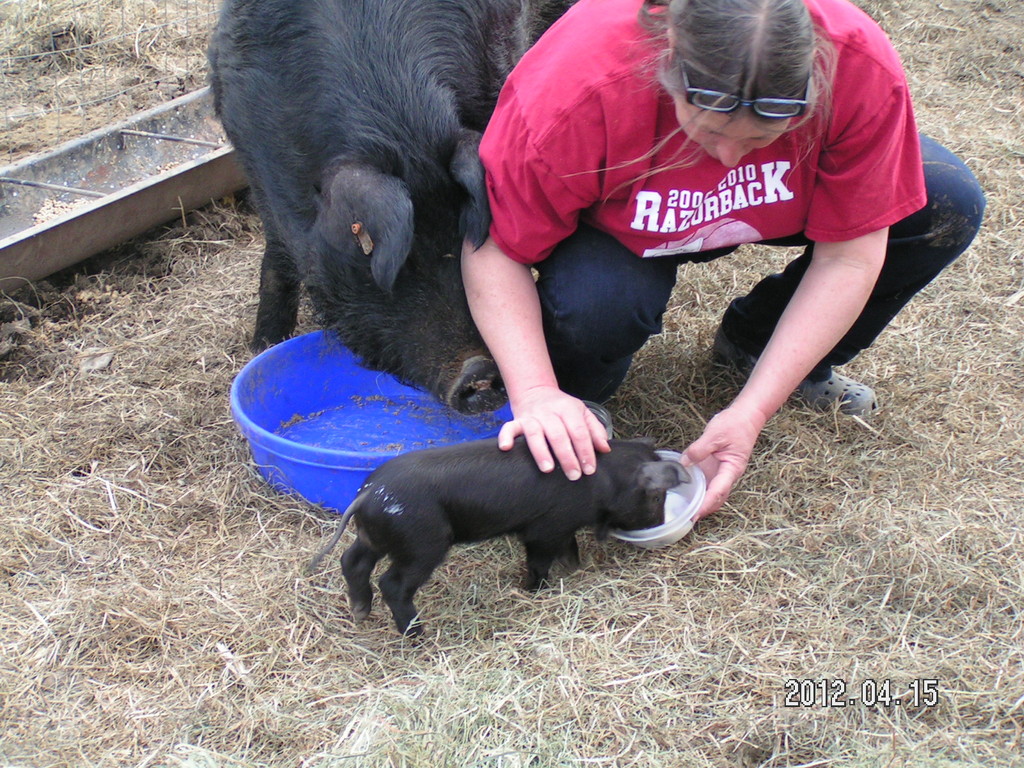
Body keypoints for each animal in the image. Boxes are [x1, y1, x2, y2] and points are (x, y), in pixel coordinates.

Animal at [207, 0, 577, 415]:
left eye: (463, 235)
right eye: (400, 260)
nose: (479, 370)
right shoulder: (257, 162)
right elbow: (278, 254)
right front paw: (263, 346)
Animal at [303, 438, 688, 638]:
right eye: (656, 497)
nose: (658, 522)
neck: (602, 479)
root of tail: (368, 494)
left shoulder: (563, 528)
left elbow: (571, 551)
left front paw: (574, 572)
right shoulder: (545, 529)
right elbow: (539, 561)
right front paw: (534, 591)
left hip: (375, 536)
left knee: (352, 561)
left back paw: (360, 615)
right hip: (422, 543)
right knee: (392, 583)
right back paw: (418, 636)